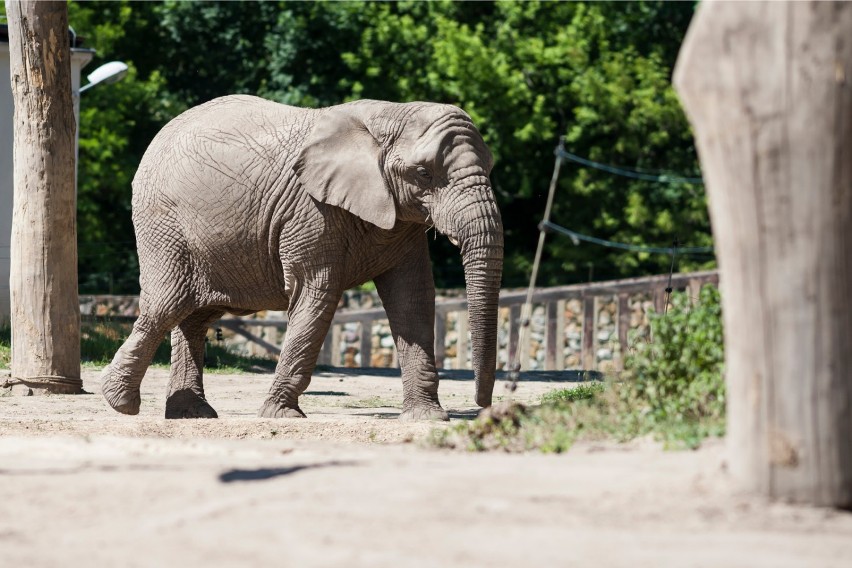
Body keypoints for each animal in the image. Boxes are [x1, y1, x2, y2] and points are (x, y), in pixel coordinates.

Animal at [101, 95, 506, 420]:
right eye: (423, 173)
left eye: (490, 169)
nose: (484, 406)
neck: (391, 115)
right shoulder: (309, 211)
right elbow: (317, 293)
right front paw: (282, 416)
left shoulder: (401, 218)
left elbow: (413, 298)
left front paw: (427, 418)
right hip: (162, 222)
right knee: (167, 304)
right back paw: (120, 401)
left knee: (193, 315)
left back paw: (192, 414)